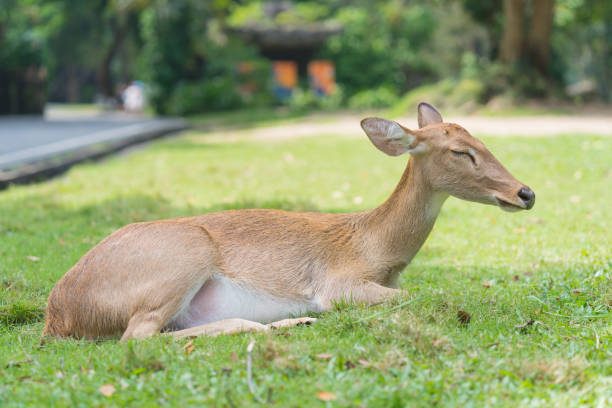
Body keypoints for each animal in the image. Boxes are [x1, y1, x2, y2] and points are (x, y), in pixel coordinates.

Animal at [40, 103, 532, 342]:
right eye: (460, 151)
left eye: (481, 140)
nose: (525, 193)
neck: (375, 249)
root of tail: (57, 316)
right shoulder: (338, 284)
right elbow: (420, 294)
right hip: (182, 255)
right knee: (136, 336)